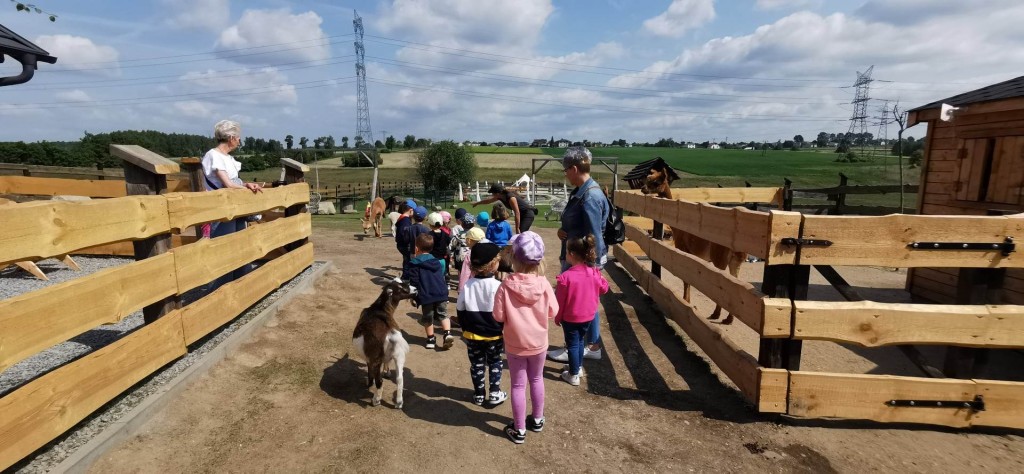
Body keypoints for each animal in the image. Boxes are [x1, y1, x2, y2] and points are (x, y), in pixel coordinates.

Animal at [352, 278, 415, 407]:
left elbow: (370, 370)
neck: (379, 308)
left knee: (379, 380)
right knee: (400, 379)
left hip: (375, 357)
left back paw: (376, 400)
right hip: (399, 355)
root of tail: (390, 333)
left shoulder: (370, 357)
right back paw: (399, 402)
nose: (416, 290)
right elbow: (387, 362)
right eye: (402, 288)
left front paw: (368, 383)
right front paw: (387, 372)